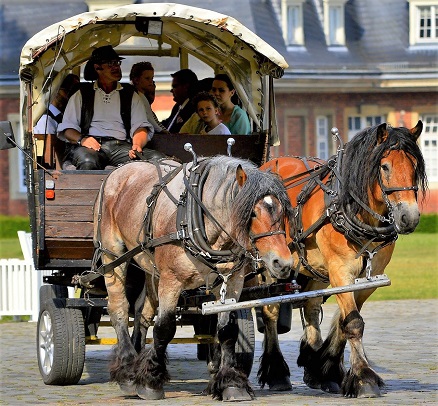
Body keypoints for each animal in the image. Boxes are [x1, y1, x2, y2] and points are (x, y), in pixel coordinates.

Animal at [92, 155, 294, 400]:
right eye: (252, 213)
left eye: (282, 212)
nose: (282, 263)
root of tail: (119, 171)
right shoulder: (171, 280)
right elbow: (164, 327)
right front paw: (150, 381)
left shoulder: (232, 282)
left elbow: (227, 331)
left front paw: (231, 383)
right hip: (113, 256)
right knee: (119, 308)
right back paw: (128, 370)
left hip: (150, 268)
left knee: (142, 312)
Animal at [256, 119, 428, 396]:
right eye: (385, 166)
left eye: (414, 167)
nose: (409, 218)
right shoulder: (340, 271)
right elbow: (353, 323)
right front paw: (364, 378)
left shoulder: (369, 277)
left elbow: (343, 322)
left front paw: (326, 368)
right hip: (269, 265)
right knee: (270, 312)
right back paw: (277, 373)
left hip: (313, 268)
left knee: (311, 307)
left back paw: (313, 362)